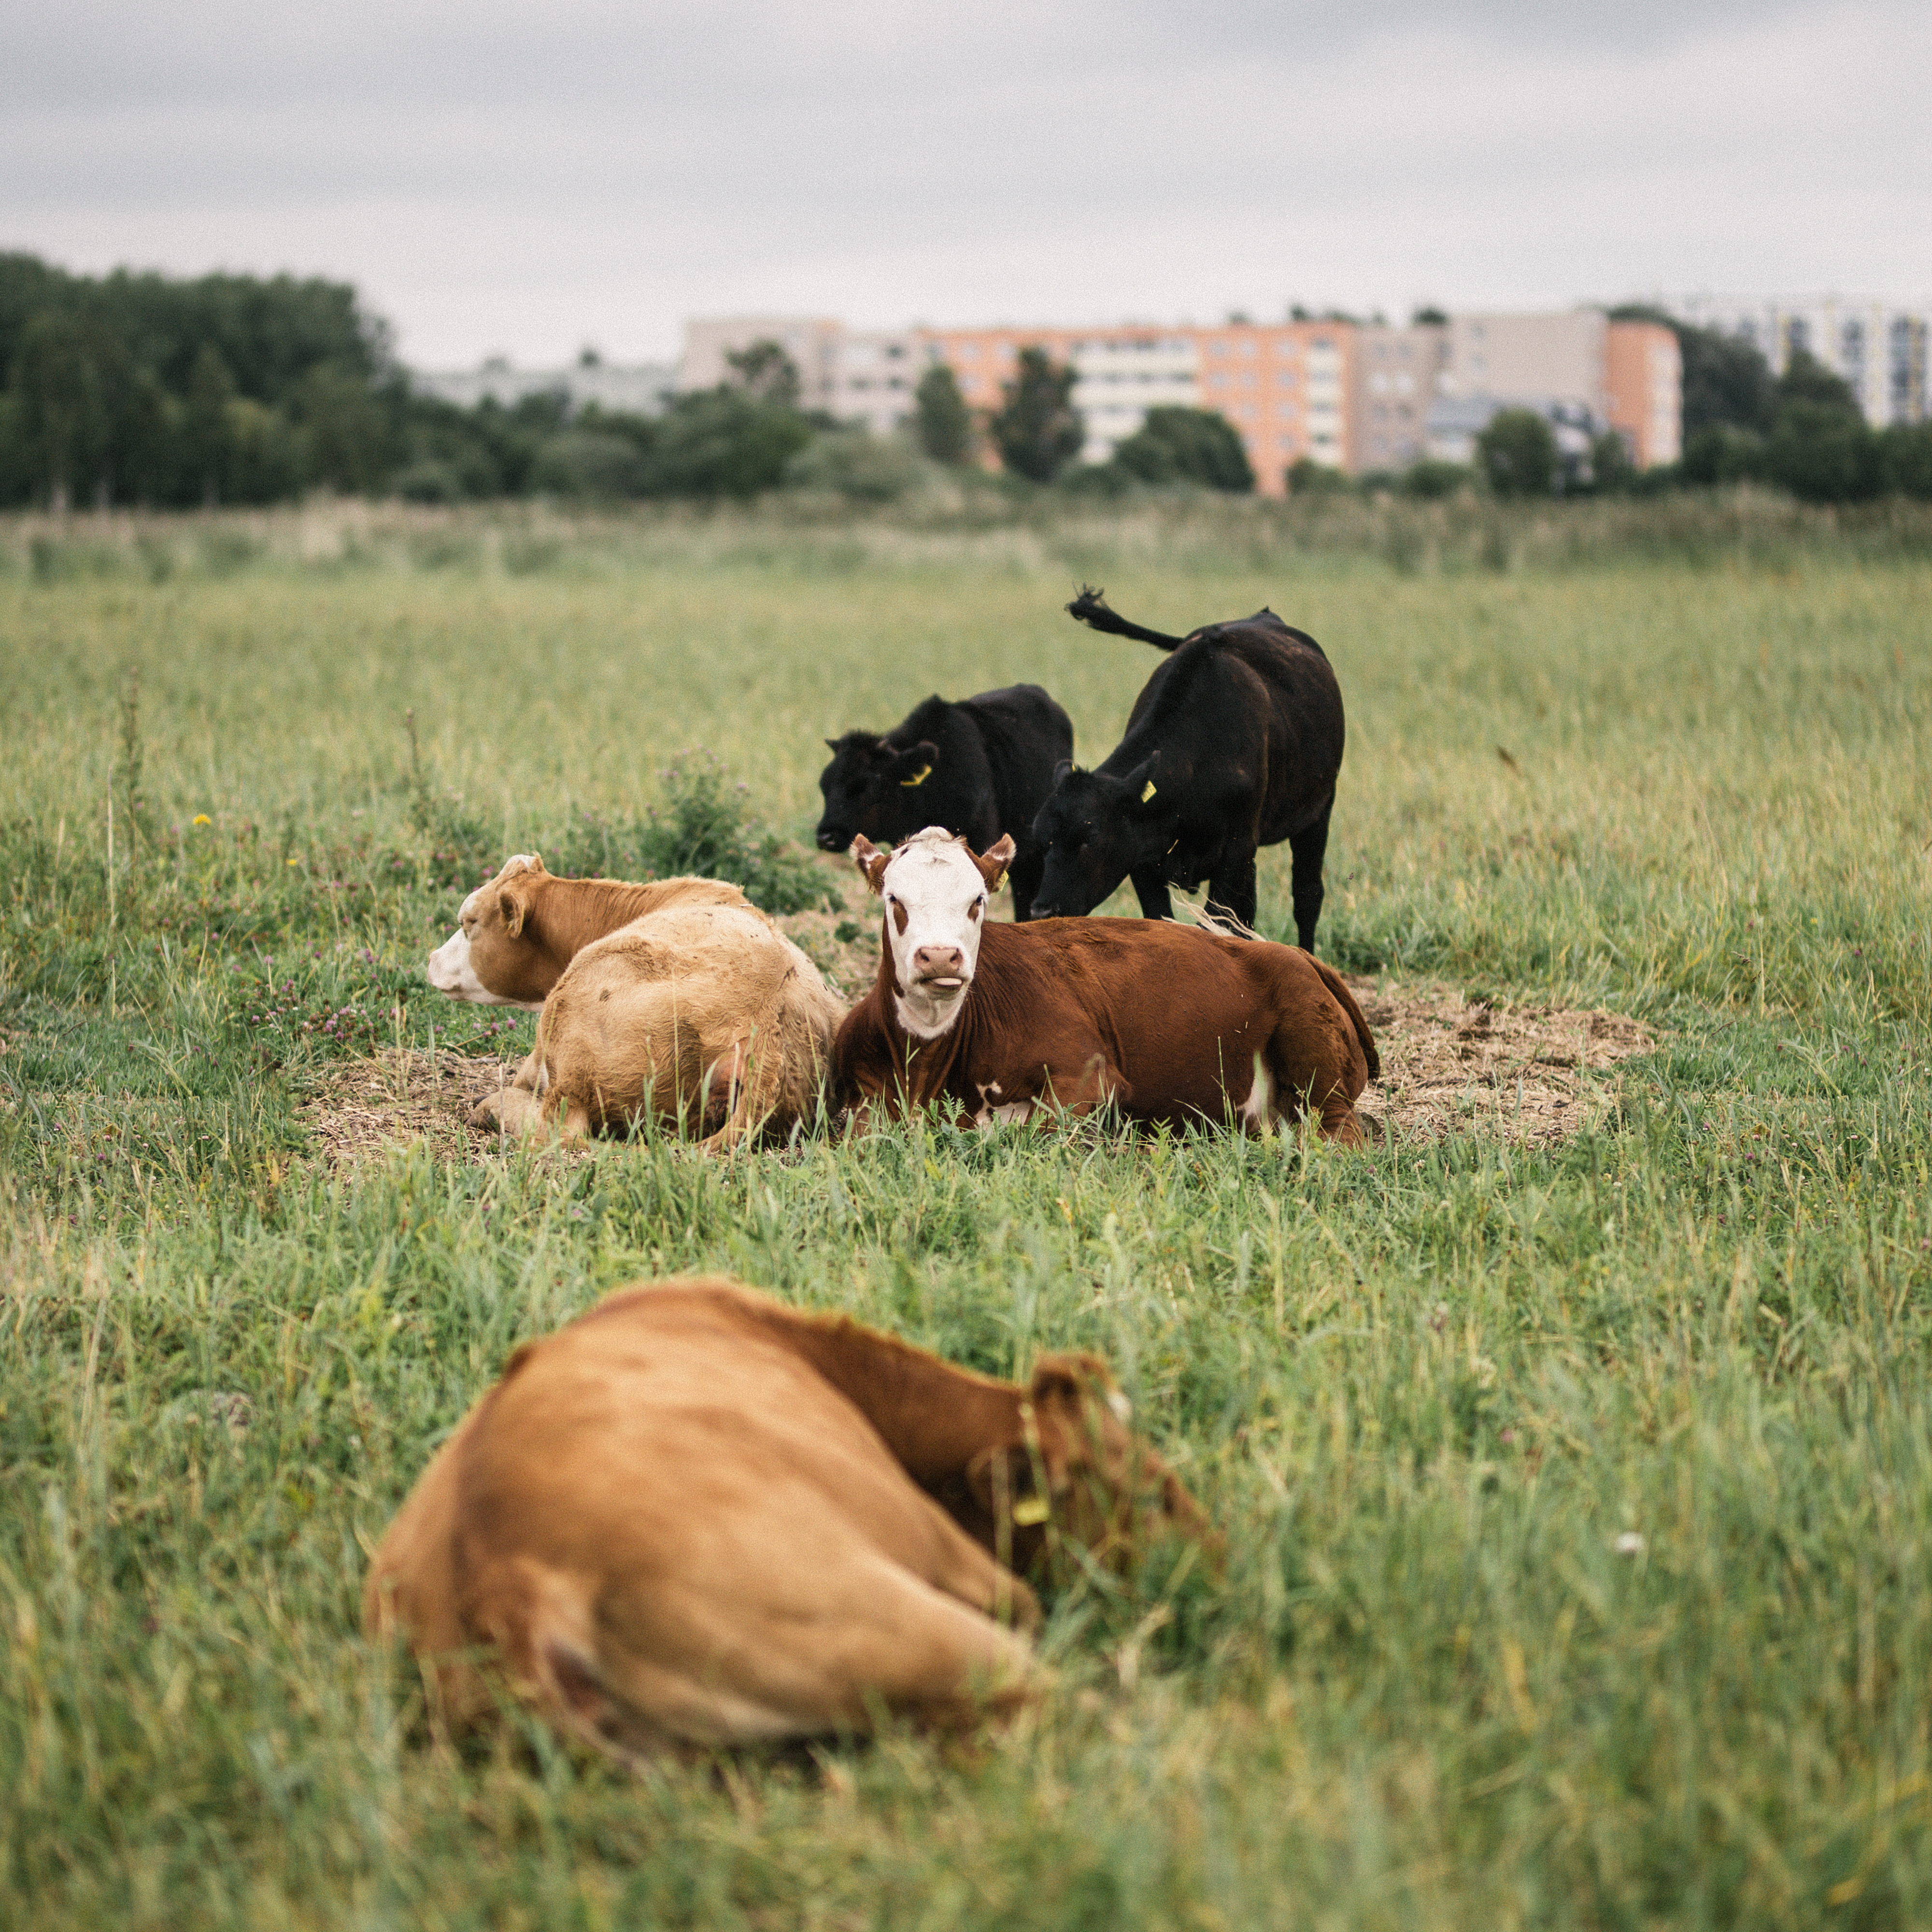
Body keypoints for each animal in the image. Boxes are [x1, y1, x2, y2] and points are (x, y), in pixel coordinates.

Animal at [838, 823, 1383, 1136]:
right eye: (894, 899)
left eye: (978, 901)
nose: (939, 957)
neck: (927, 1067)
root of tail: (1298, 955)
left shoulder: (1090, 1078)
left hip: (1317, 1064)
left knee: (1340, 1131)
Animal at [1028, 587, 1345, 951]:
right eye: (1042, 841)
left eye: (1090, 838)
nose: (1042, 911)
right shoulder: (1143, 858)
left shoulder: (1234, 852)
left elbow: (1216, 925)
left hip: (1318, 811)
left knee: (1307, 896)